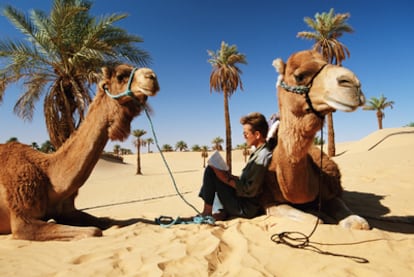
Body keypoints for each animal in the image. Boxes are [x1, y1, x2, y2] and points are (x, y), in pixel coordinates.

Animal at [0, 63, 159, 238]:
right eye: (120, 76)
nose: (152, 77)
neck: (50, 178)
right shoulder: (22, 221)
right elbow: (94, 230)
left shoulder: (68, 211)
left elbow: (112, 221)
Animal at [262, 50, 368, 229]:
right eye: (299, 76)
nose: (353, 83)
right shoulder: (268, 203)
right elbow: (315, 219)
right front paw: (320, 215)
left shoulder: (330, 193)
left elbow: (358, 223)